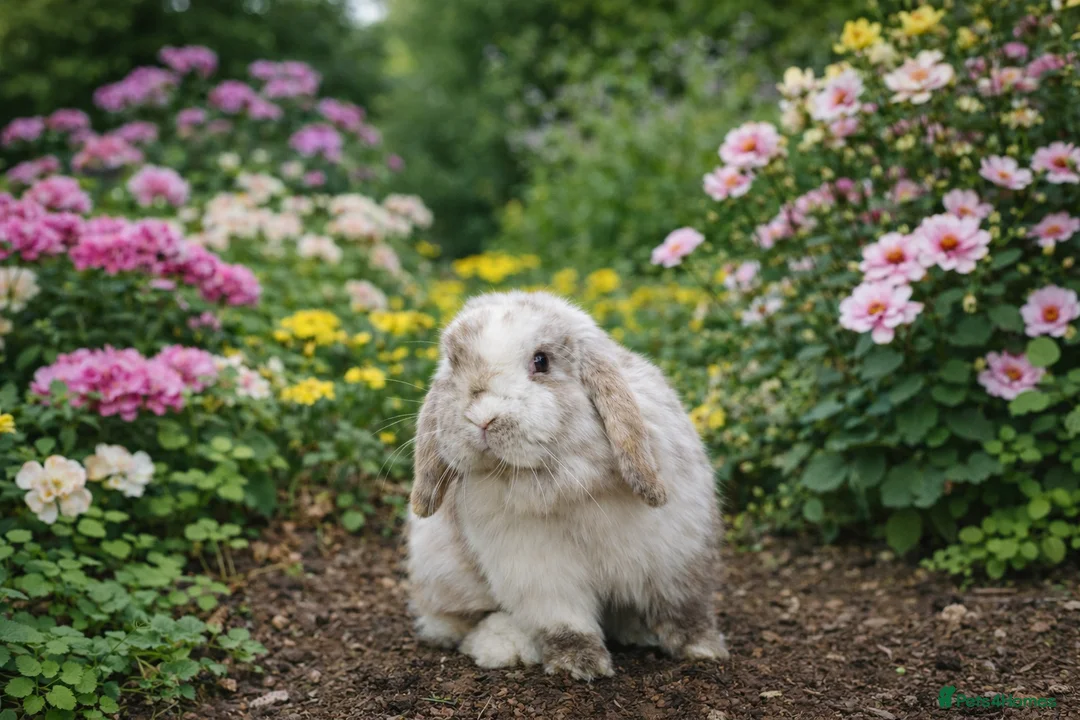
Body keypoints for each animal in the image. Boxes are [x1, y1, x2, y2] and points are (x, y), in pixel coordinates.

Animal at [406, 290, 728, 680]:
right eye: (453, 364)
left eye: (541, 361)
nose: (482, 418)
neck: (573, 483)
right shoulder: (539, 571)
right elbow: (564, 621)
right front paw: (581, 664)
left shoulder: (678, 554)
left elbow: (684, 608)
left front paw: (704, 649)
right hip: (441, 569)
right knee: (454, 623)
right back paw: (504, 645)